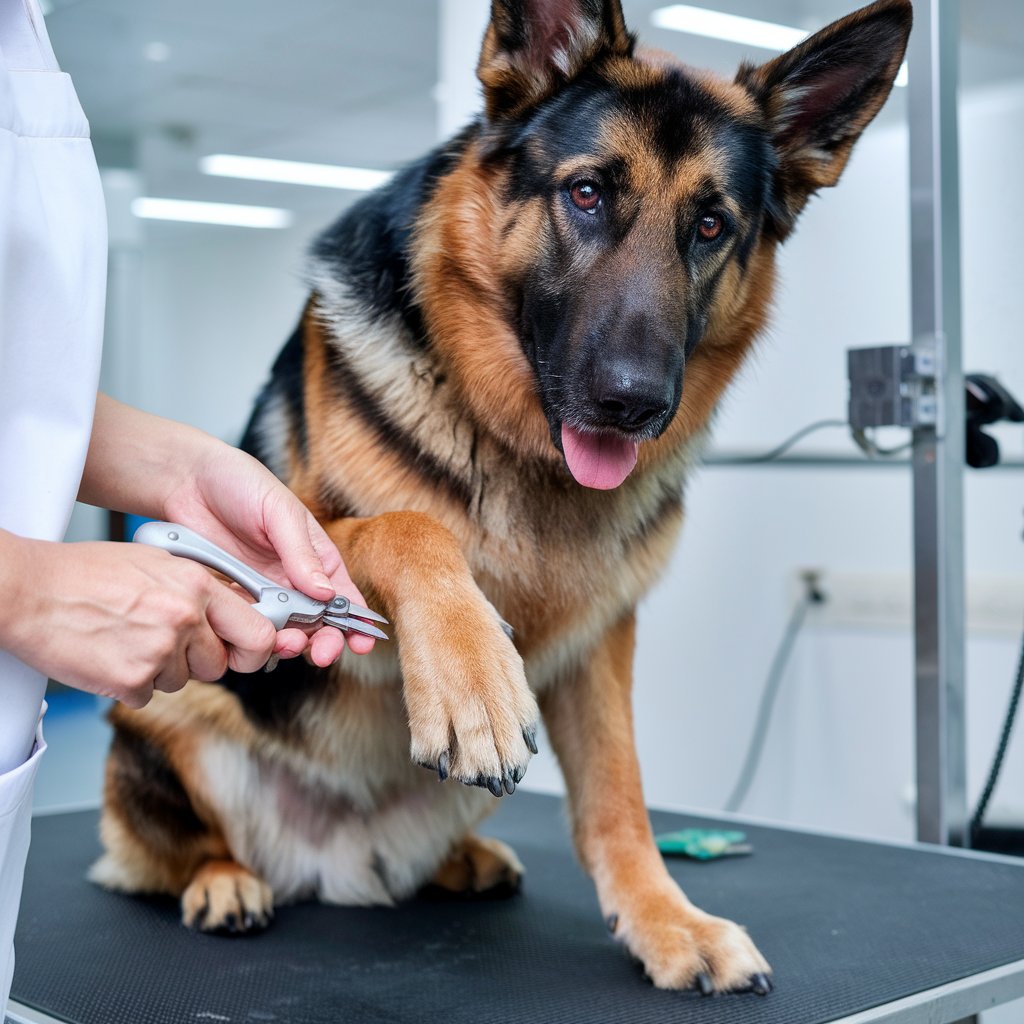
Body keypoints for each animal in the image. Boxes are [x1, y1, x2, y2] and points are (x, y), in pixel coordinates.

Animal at [94, 0, 913, 991]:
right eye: (587, 193)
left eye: (713, 226)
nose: (635, 403)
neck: (520, 451)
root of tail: (336, 868)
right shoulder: (287, 529)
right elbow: (410, 527)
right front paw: (472, 679)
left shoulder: (602, 645)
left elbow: (618, 798)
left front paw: (666, 920)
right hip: (161, 707)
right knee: (168, 851)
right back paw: (223, 879)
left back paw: (460, 862)